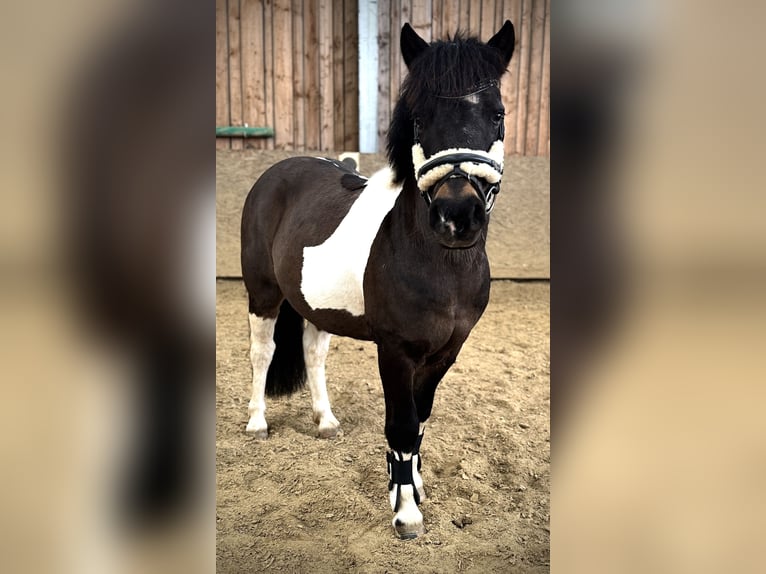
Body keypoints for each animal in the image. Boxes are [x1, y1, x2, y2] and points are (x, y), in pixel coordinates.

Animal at [240, 21, 516, 540]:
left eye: (497, 115)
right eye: (420, 119)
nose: (457, 216)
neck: (439, 263)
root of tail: (278, 171)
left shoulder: (444, 354)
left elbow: (420, 421)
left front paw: (411, 486)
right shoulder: (396, 351)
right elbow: (402, 425)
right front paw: (405, 512)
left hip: (314, 305)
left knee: (313, 353)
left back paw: (326, 421)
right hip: (262, 295)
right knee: (262, 353)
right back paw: (256, 424)